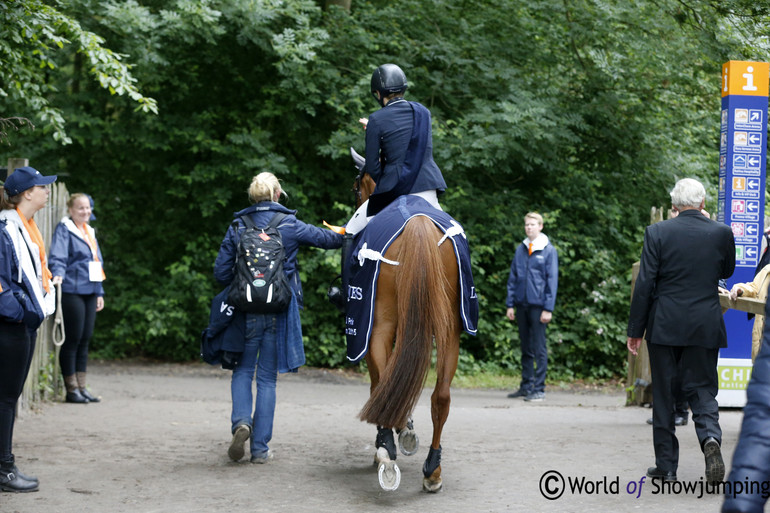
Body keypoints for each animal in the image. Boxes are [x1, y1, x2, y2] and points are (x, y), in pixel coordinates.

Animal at [352, 170, 460, 490]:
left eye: (356, 190)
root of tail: (418, 223)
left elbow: (379, 381)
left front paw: (390, 438)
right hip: (449, 328)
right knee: (441, 396)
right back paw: (433, 469)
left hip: (380, 325)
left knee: (383, 384)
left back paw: (386, 450)